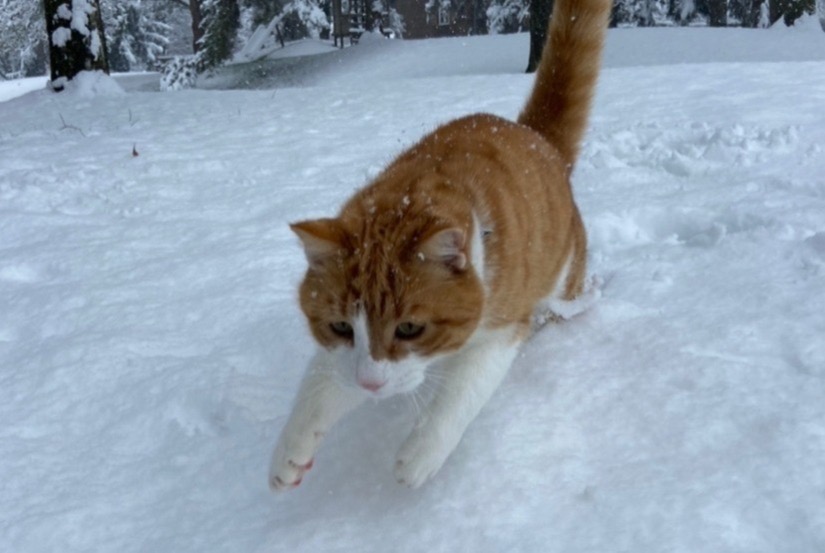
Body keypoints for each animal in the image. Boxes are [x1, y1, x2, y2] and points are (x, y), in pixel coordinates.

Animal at [268, 0, 608, 490]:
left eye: (409, 328)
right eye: (340, 326)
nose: (371, 385)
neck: (413, 192)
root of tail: (537, 138)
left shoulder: (503, 327)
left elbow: (460, 394)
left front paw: (421, 452)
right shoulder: (342, 357)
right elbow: (319, 384)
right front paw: (291, 450)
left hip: (563, 278)